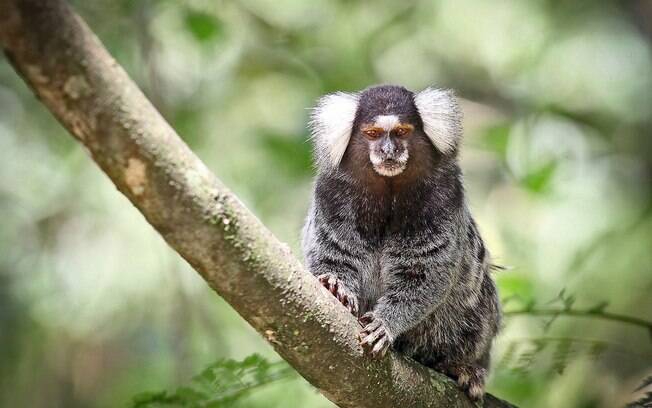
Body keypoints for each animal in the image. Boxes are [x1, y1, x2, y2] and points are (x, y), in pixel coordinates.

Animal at [304, 84, 502, 400]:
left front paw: (386, 324)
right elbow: (332, 253)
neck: (388, 189)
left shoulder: (445, 195)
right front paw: (336, 285)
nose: (388, 151)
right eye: (373, 133)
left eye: (400, 132)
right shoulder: (330, 191)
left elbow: (423, 273)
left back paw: (462, 366)